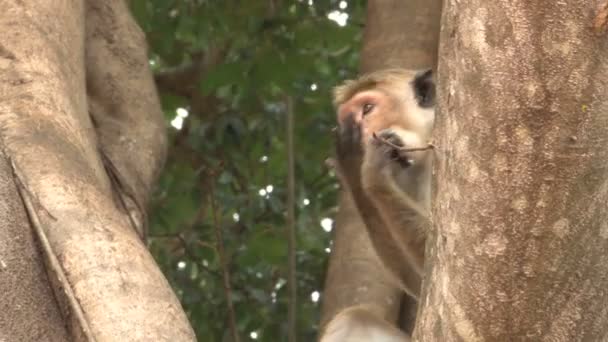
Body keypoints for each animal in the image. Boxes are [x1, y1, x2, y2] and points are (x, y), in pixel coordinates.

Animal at [320, 68, 434, 340]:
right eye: (348, 119)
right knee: (353, 319)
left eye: (368, 109)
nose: (360, 133)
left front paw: (372, 173)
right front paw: (350, 160)